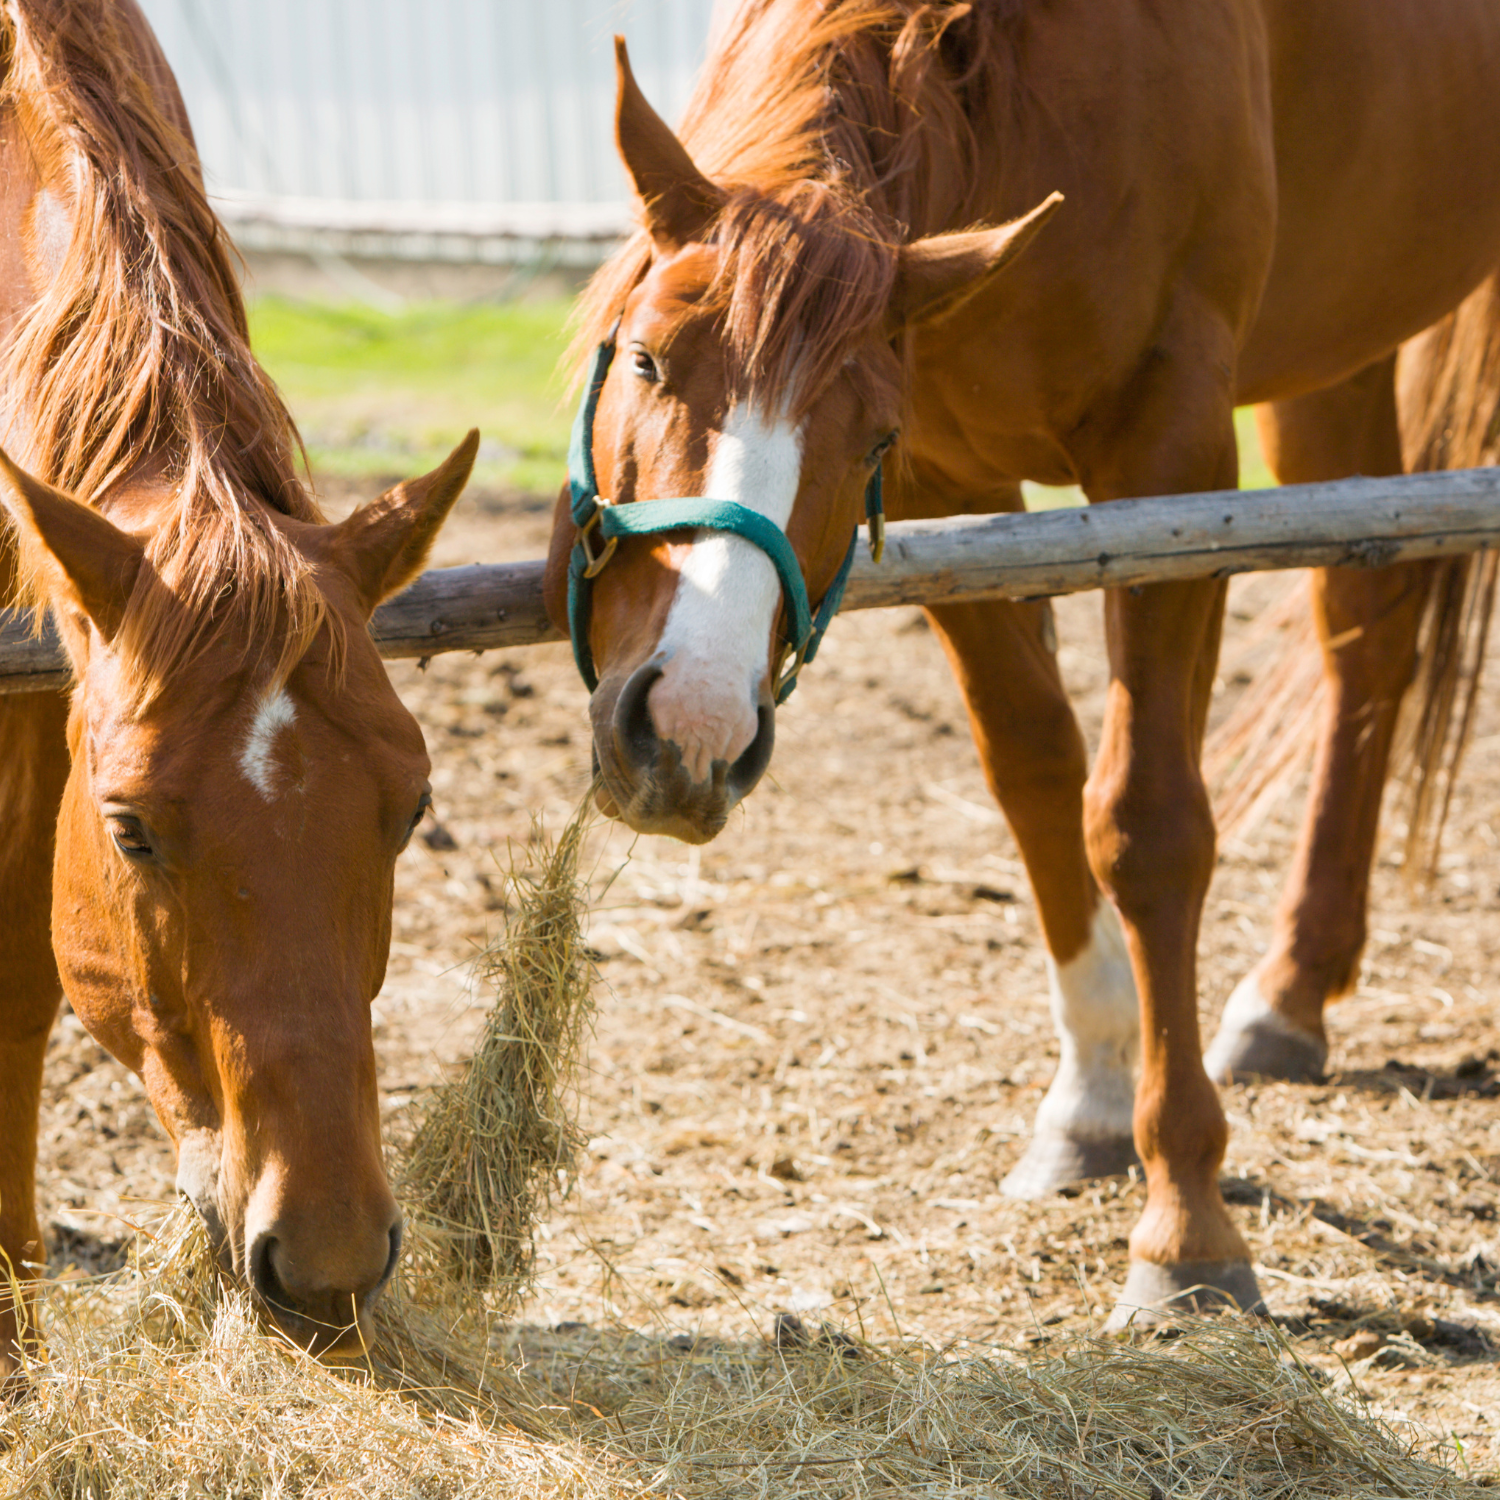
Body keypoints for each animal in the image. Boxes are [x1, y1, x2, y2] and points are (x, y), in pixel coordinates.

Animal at [543, 0, 1500, 1326]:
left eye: (866, 433)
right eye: (641, 359)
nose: (688, 730)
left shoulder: (1169, 458)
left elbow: (1147, 823)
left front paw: (1185, 1219)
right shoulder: (953, 482)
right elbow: (1038, 774)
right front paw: (1092, 1099)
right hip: (1340, 349)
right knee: (1366, 629)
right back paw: (1292, 991)